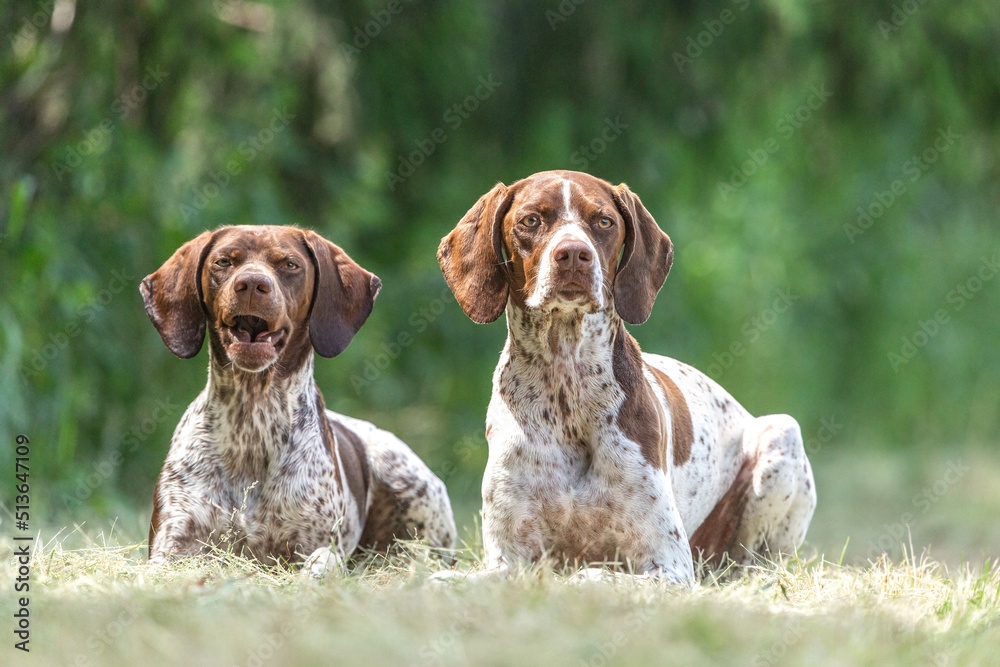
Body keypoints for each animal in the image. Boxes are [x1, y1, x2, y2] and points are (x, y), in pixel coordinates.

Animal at [140, 224, 454, 576]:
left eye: (290, 265)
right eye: (223, 262)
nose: (252, 284)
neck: (252, 420)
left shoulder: (315, 546)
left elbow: (321, 564)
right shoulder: (173, 545)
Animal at [442, 171, 816, 584]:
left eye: (604, 221)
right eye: (531, 220)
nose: (574, 254)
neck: (565, 388)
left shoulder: (670, 565)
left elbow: (592, 574)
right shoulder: (506, 559)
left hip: (781, 434)